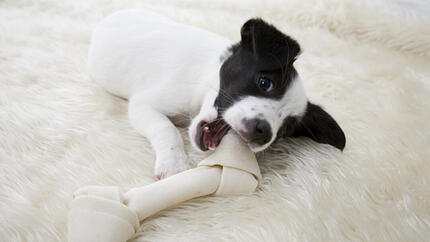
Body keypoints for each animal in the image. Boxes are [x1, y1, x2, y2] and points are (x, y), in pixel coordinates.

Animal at [88, 9, 346, 180]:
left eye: (286, 129)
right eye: (265, 83)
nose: (263, 132)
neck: (205, 78)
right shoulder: (143, 105)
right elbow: (166, 129)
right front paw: (174, 164)